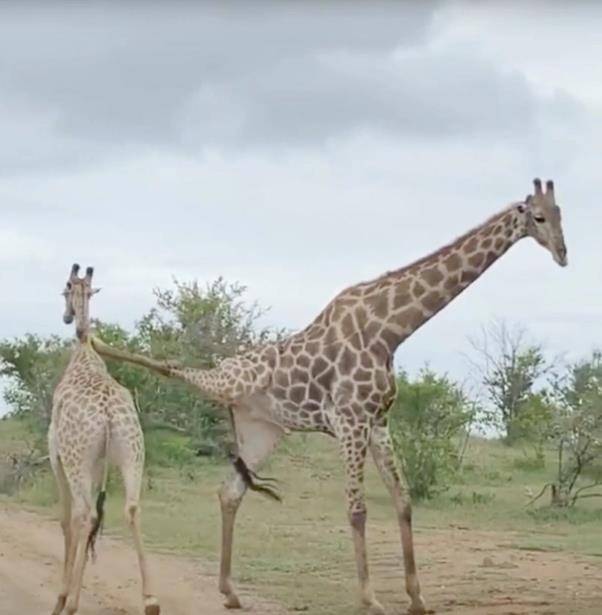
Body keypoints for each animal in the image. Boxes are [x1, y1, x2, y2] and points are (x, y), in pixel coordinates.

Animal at [47, 264, 159, 615]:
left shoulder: (56, 453)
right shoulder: (98, 462)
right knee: (131, 508)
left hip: (78, 458)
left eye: (65, 288)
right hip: (132, 450)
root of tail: (108, 414)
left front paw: (61, 597)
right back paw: (151, 601)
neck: (84, 351)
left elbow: (66, 518)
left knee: (85, 514)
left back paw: (70, 602)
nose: (66, 317)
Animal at [92, 179, 564, 615]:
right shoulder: (351, 420)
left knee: (229, 491)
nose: (563, 254)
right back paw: (91, 335)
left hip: (262, 431)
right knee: (175, 370)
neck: (390, 330)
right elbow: (357, 509)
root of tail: (235, 396)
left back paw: (229, 591)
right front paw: (371, 599)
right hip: (231, 383)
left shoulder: (378, 422)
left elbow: (403, 500)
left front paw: (418, 598)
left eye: (562, 214)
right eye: (539, 217)